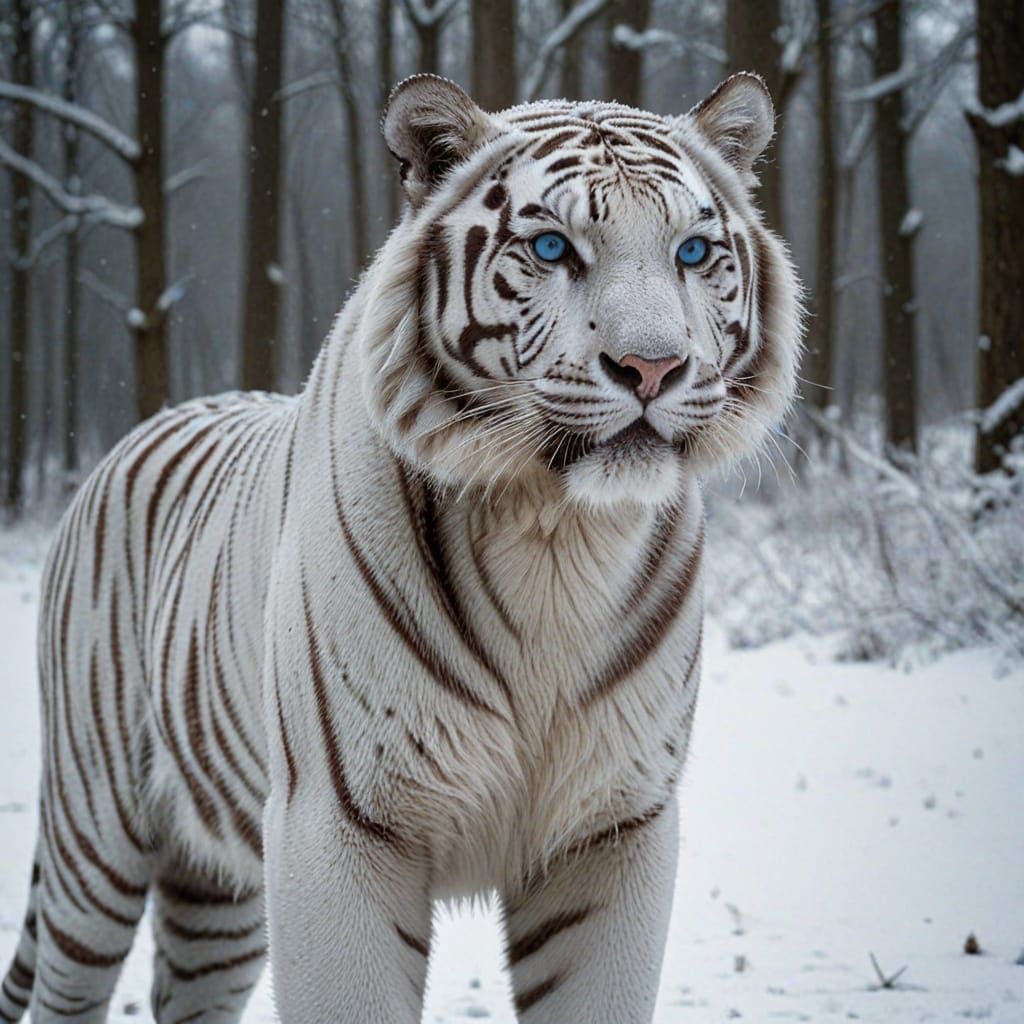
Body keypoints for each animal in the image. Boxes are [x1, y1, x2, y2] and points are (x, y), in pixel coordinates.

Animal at [0, 72, 801, 1023]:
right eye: (551, 246)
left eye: (692, 251)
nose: (653, 368)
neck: (558, 536)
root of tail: (144, 428)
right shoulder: (337, 825)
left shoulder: (613, 826)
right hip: (97, 839)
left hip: (219, 894)